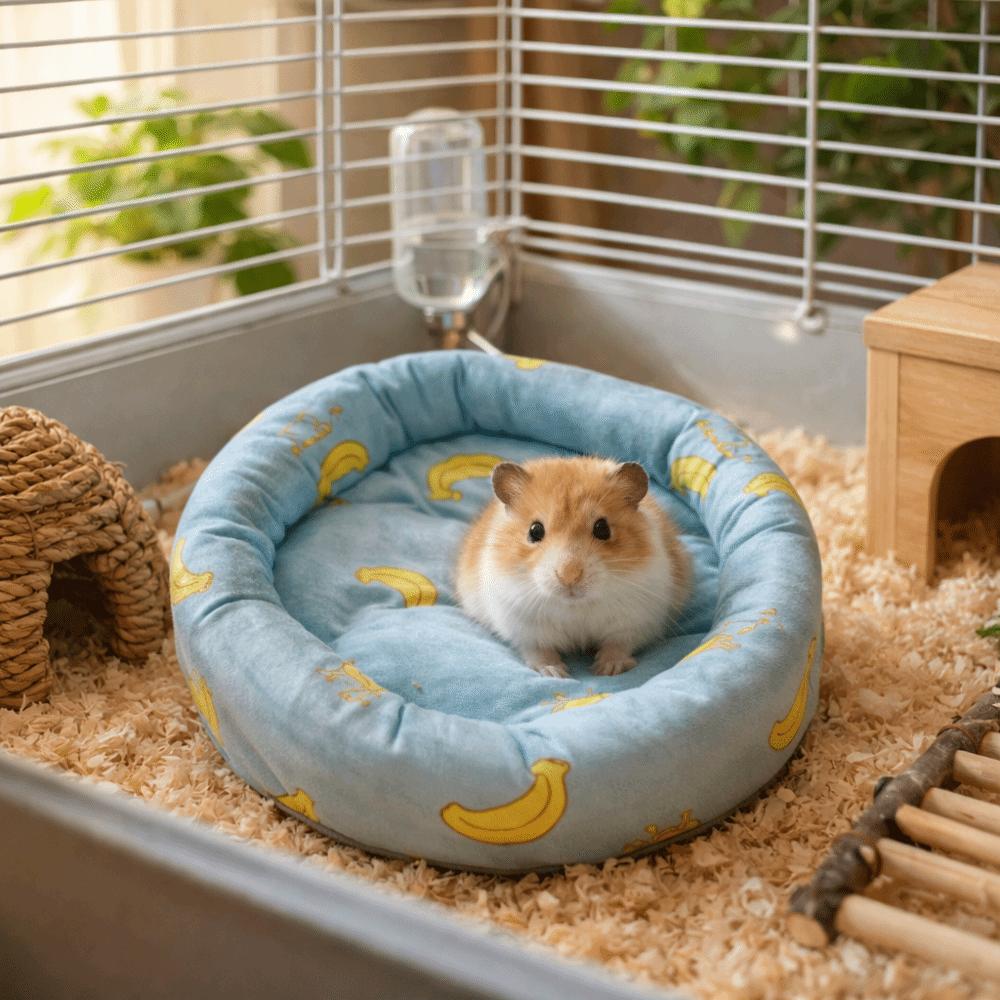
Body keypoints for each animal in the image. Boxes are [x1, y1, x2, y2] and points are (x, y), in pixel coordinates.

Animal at [455, 456, 690, 678]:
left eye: (603, 529)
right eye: (534, 531)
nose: (569, 577)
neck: (575, 606)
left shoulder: (634, 621)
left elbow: (618, 645)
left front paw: (607, 669)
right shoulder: (524, 626)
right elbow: (539, 651)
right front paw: (555, 672)